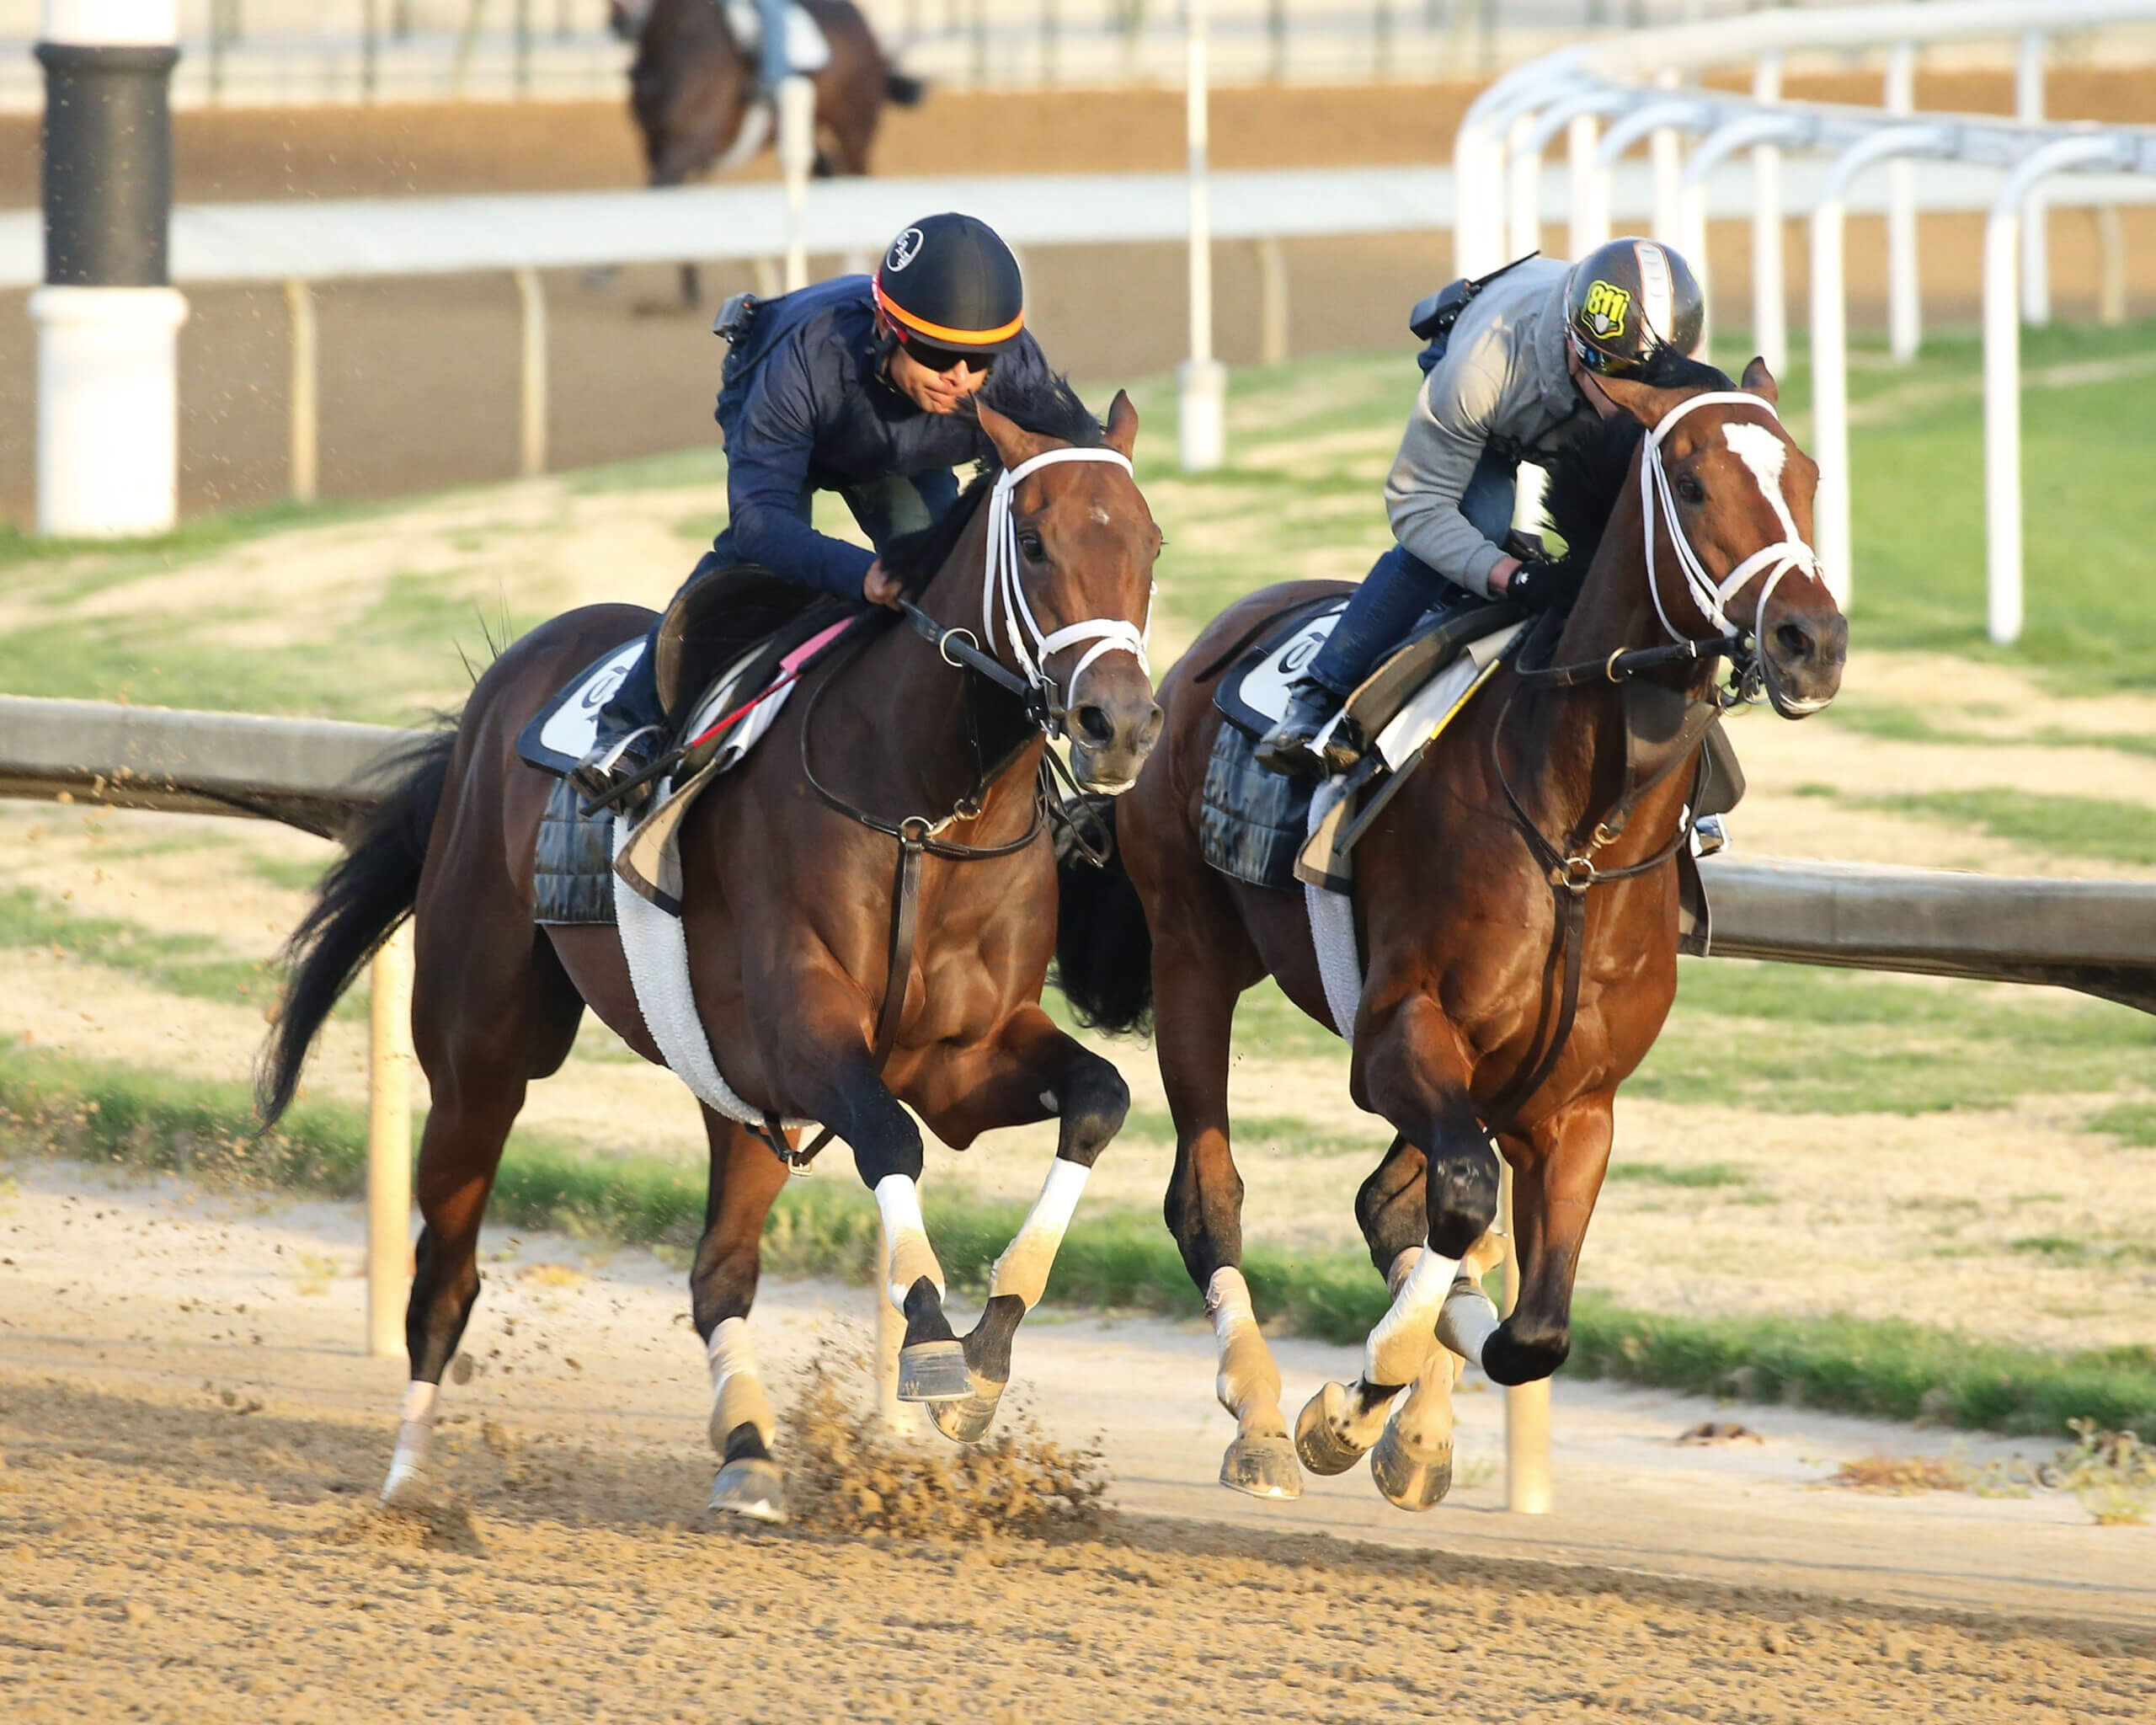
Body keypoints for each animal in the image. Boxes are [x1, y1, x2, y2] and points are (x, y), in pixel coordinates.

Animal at [259, 382, 1164, 1526]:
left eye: (1150, 542)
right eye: (1036, 542)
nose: (1118, 722)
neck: (923, 810)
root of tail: (497, 689)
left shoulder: (959, 1056)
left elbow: (1097, 1099)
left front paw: (988, 1344)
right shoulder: (805, 1034)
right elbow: (890, 1137)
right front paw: (930, 1342)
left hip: (728, 1087)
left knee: (718, 1268)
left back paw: (746, 1443)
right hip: (481, 1051)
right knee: (447, 1273)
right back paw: (414, 1482)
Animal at [1052, 353, 1845, 1509]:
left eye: (1809, 477)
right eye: (1694, 487)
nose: (1811, 640)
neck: (1578, 833)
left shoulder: (1572, 1099)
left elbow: (1529, 1324)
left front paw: (1403, 1423)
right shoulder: (1397, 1031)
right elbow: (1464, 1202)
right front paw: (1342, 1412)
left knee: (1392, 1199)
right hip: (1193, 957)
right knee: (1208, 1192)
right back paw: (1259, 1414)